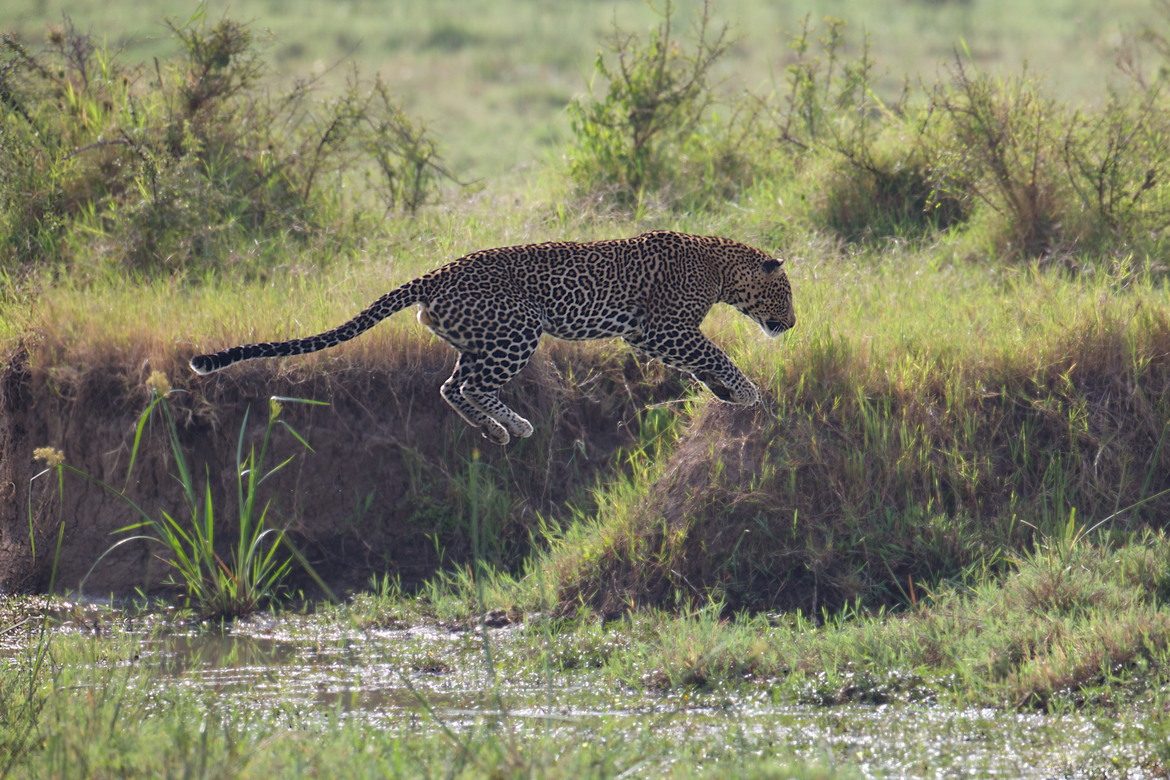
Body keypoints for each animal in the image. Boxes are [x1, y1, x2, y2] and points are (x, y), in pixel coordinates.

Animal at [189, 230, 796, 445]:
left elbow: (700, 362)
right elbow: (713, 351)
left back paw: (501, 429)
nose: (791, 324)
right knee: (466, 387)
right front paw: (746, 391)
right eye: (786, 293)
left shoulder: (647, 338)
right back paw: (515, 425)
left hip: (479, 338)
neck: (721, 266)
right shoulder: (664, 327)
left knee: (450, 386)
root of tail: (436, 273)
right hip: (517, 329)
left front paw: (725, 392)